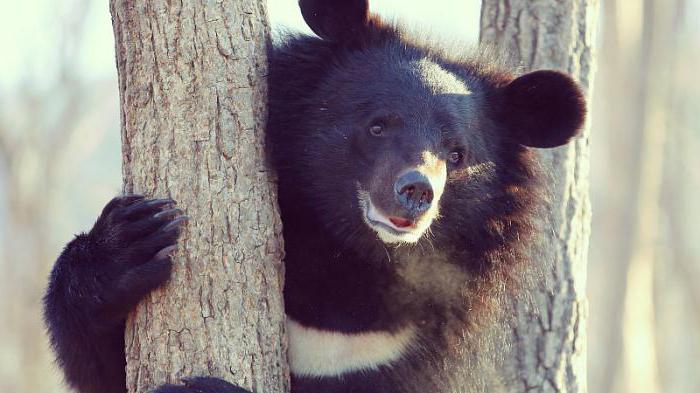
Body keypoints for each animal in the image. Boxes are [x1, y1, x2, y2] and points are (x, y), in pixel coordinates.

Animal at [43, 0, 584, 392]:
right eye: (377, 125)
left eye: (457, 154)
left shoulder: (397, 350)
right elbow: (102, 369)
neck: (347, 262)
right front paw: (131, 240)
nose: (416, 191)